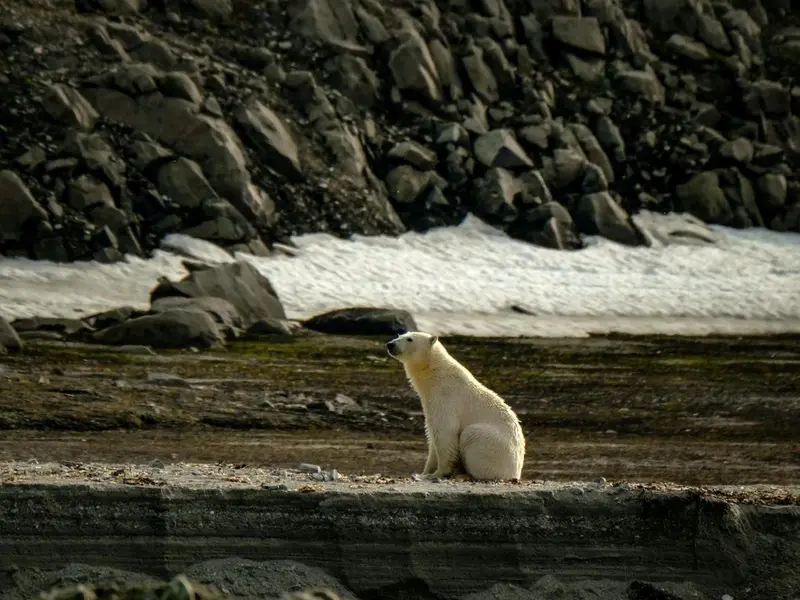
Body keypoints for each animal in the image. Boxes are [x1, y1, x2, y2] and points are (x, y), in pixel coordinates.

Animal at [386, 331, 526, 482]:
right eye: (399, 335)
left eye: (409, 339)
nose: (390, 344)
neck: (435, 374)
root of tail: (516, 471)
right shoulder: (430, 403)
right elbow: (431, 434)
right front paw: (422, 473)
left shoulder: (446, 398)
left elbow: (445, 432)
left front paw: (435, 474)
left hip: (495, 447)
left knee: (471, 434)